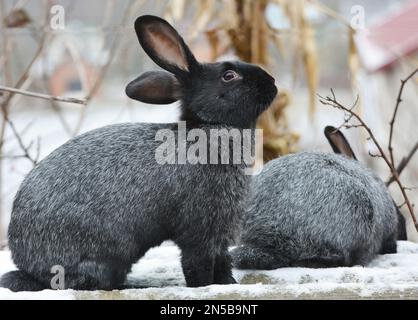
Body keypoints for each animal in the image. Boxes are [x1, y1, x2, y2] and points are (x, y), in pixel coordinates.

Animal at [1, 15, 280, 292]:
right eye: (229, 75)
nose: (272, 82)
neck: (209, 128)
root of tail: (29, 267)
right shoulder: (199, 231)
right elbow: (196, 265)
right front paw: (204, 286)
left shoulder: (219, 236)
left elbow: (222, 264)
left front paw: (228, 284)